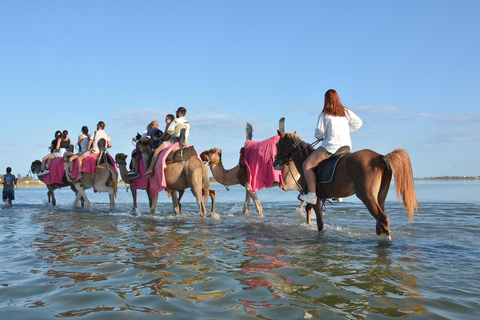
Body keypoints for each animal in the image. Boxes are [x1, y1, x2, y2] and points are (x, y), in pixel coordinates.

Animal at [274, 131, 420, 239]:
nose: (275, 162)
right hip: (380, 197)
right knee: (379, 224)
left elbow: (320, 224)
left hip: (367, 196)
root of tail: (380, 157)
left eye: (277, 144)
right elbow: (308, 210)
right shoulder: (316, 197)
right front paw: (308, 225)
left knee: (383, 219)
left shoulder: (314, 197)